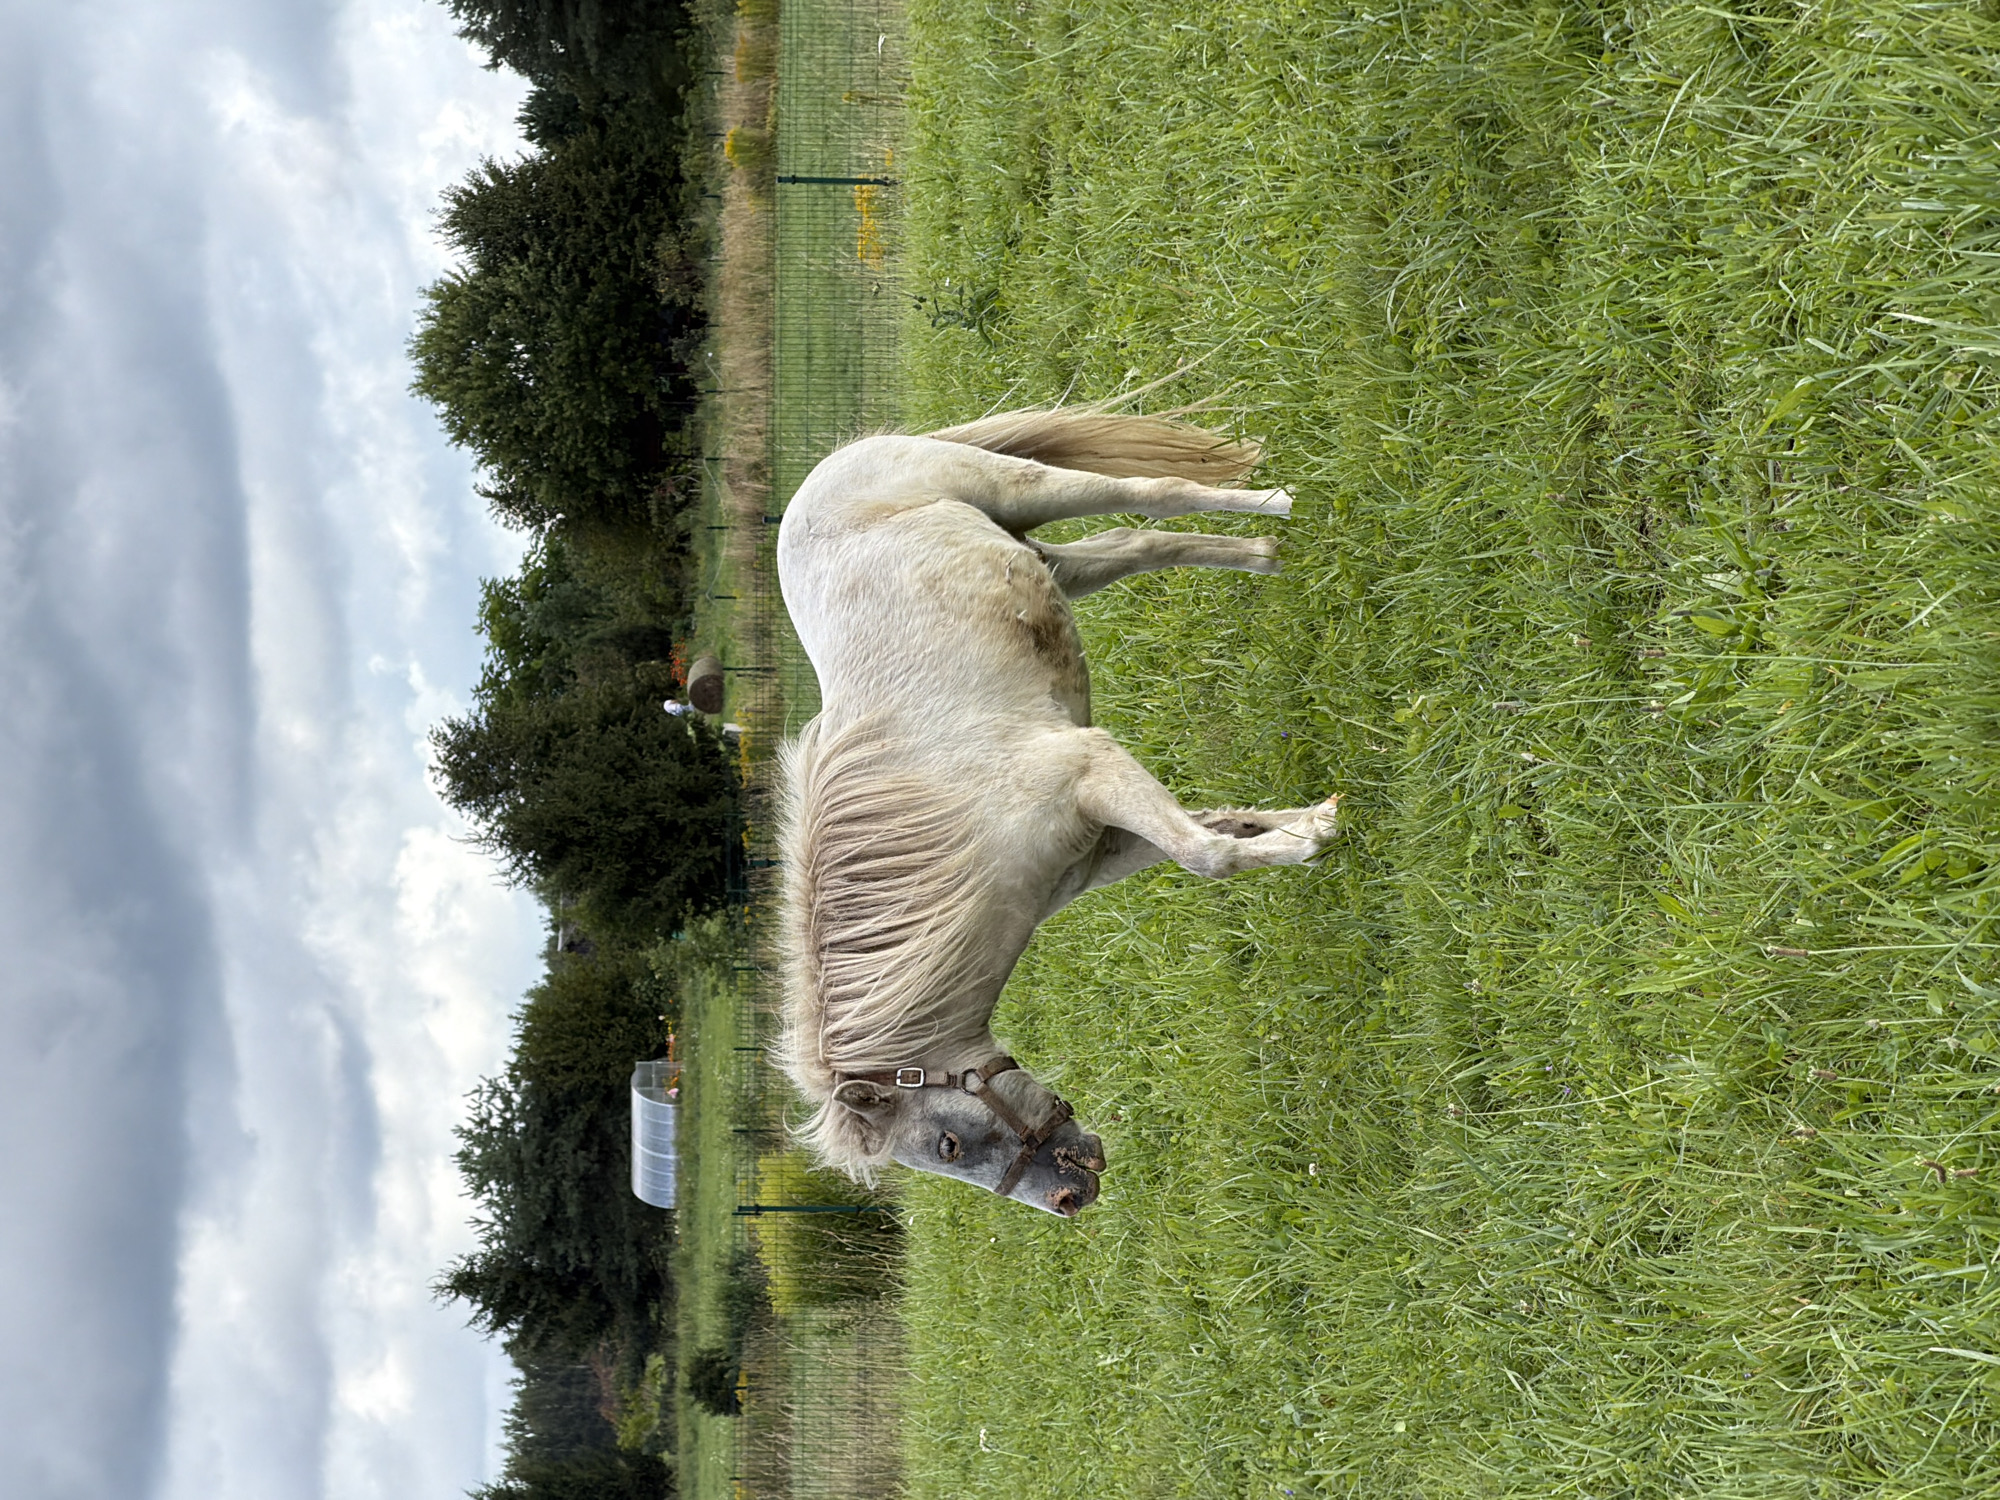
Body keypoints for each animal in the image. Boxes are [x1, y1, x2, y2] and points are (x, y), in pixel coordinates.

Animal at [773, 408, 1340, 1215]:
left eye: (947, 1146)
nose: (1072, 1197)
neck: (951, 834)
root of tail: (831, 468)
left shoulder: (1090, 769)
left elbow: (1207, 854)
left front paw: (1316, 837)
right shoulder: (1107, 844)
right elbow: (1221, 831)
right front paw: (1311, 822)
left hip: (1027, 492)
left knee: (1152, 496)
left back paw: (1278, 506)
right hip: (1047, 561)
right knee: (1139, 544)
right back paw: (1270, 555)